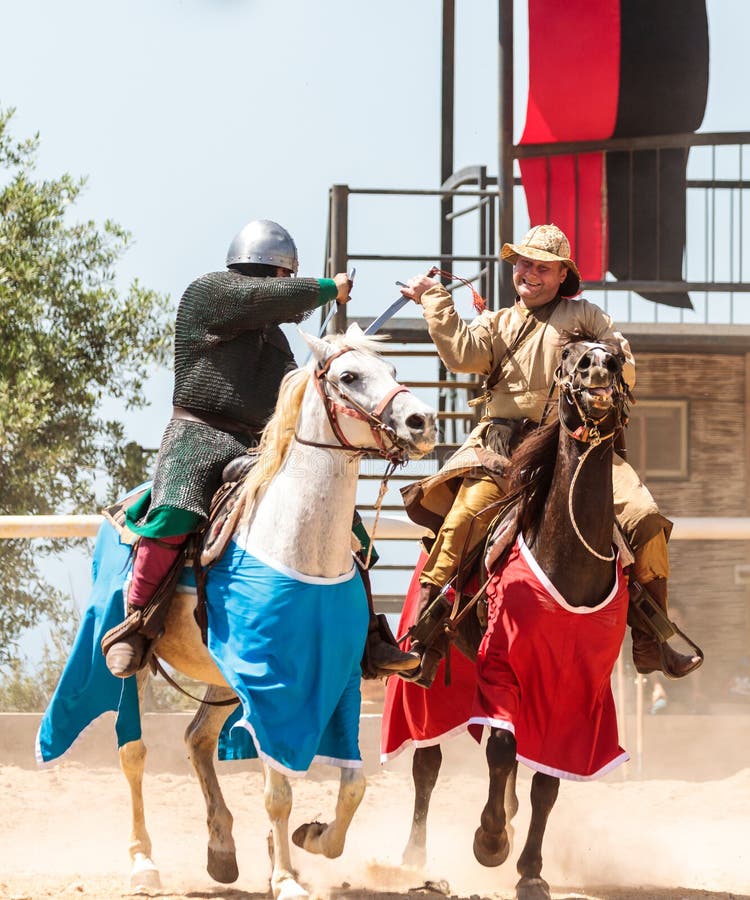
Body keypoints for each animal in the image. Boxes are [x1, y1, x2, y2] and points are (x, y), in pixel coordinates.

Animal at [117, 326, 438, 896]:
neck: (296, 543)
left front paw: (313, 840)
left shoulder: (336, 682)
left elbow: (354, 784)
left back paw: (222, 849)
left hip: (219, 675)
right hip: (142, 664)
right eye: (349, 376)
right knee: (134, 753)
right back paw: (142, 862)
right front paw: (286, 877)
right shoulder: (269, 683)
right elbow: (278, 793)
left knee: (197, 738)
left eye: (395, 372)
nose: (422, 421)